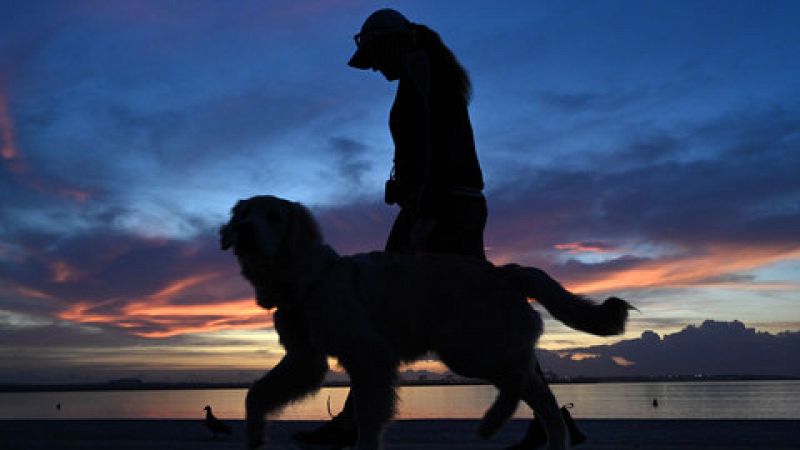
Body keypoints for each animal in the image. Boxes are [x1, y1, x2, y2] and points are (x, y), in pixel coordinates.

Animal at [219, 196, 632, 450]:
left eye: (274, 217)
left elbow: (368, 421)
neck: (306, 279)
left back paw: (492, 421)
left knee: (518, 376)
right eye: (243, 215)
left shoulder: (371, 359)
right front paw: (254, 436)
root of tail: (506, 272)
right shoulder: (306, 361)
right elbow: (255, 394)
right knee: (544, 402)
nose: (244, 231)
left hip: (469, 349)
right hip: (481, 350)